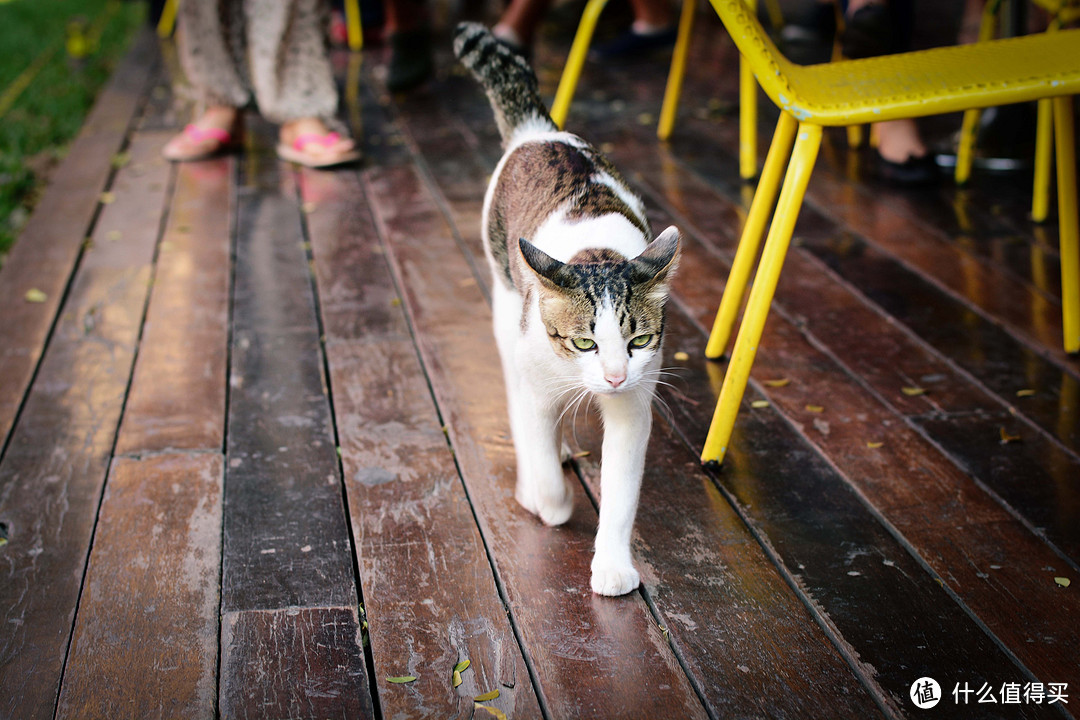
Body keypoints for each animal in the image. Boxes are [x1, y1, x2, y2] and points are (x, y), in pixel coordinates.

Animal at [451, 22, 678, 595]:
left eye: (639, 340)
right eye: (584, 342)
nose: (614, 376)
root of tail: (537, 131)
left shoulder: (634, 402)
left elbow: (620, 490)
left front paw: (613, 567)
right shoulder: (538, 380)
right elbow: (544, 466)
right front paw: (545, 498)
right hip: (506, 304)